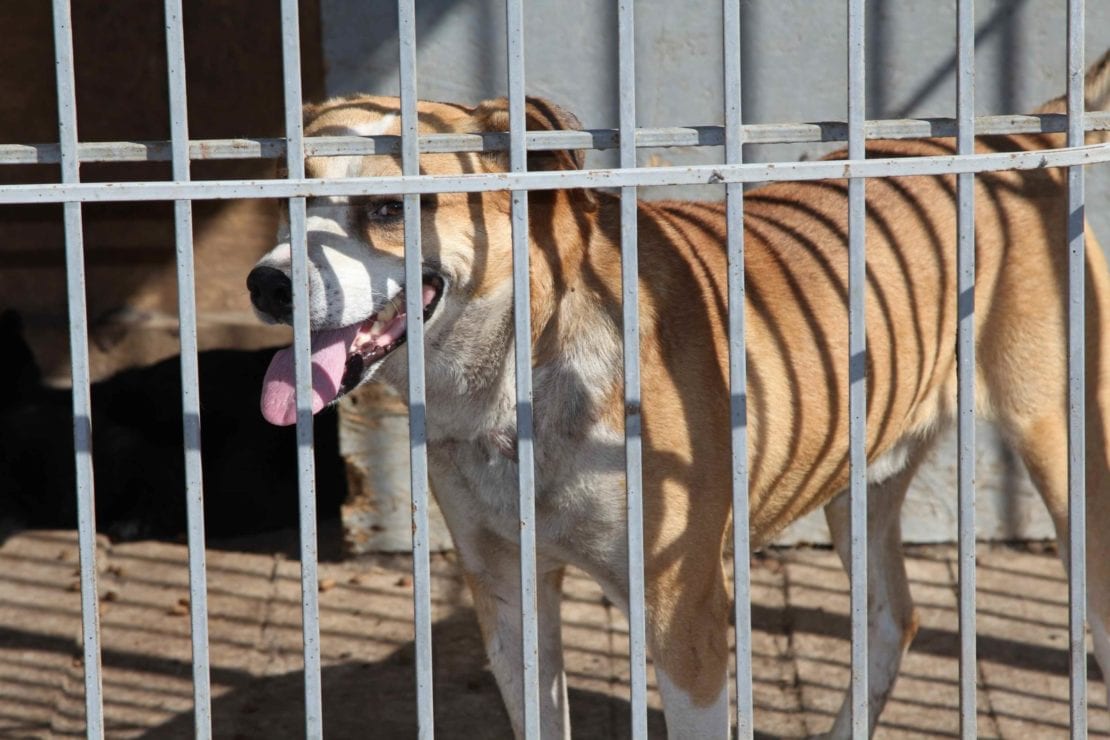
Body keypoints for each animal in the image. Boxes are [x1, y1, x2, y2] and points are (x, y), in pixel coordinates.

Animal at [247, 53, 1110, 740]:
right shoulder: (511, 606)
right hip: (859, 481)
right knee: (892, 621)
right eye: (290, 199)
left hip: (1065, 456)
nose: (265, 285)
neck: (516, 381)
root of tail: (1022, 138)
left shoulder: (683, 619)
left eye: (387, 208)